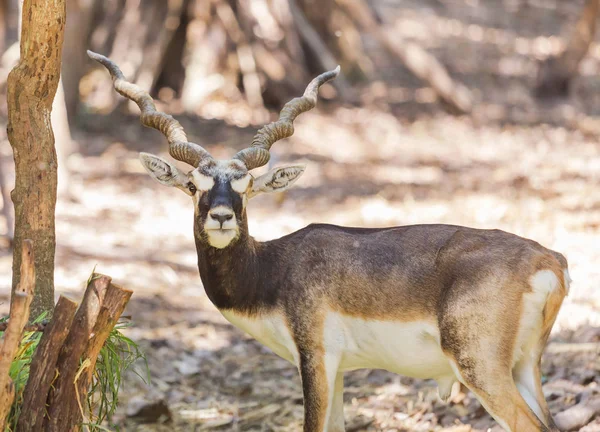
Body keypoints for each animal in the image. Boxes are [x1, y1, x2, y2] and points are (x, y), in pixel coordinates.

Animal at [90, 49, 572, 430]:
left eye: (246, 187)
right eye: (193, 185)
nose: (222, 217)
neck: (273, 269)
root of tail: (550, 260)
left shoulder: (316, 357)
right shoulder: (339, 370)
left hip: (481, 368)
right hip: (525, 366)